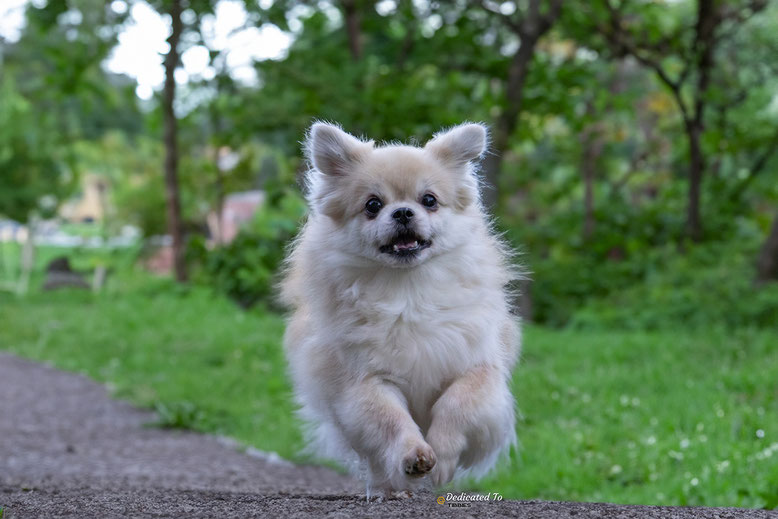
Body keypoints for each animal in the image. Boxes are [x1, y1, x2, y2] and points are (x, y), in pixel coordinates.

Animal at [280, 122, 520, 496]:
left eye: (429, 200)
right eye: (372, 205)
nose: (403, 212)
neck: (408, 292)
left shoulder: (479, 368)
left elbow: (456, 404)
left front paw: (442, 458)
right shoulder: (366, 380)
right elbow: (391, 419)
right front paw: (414, 455)